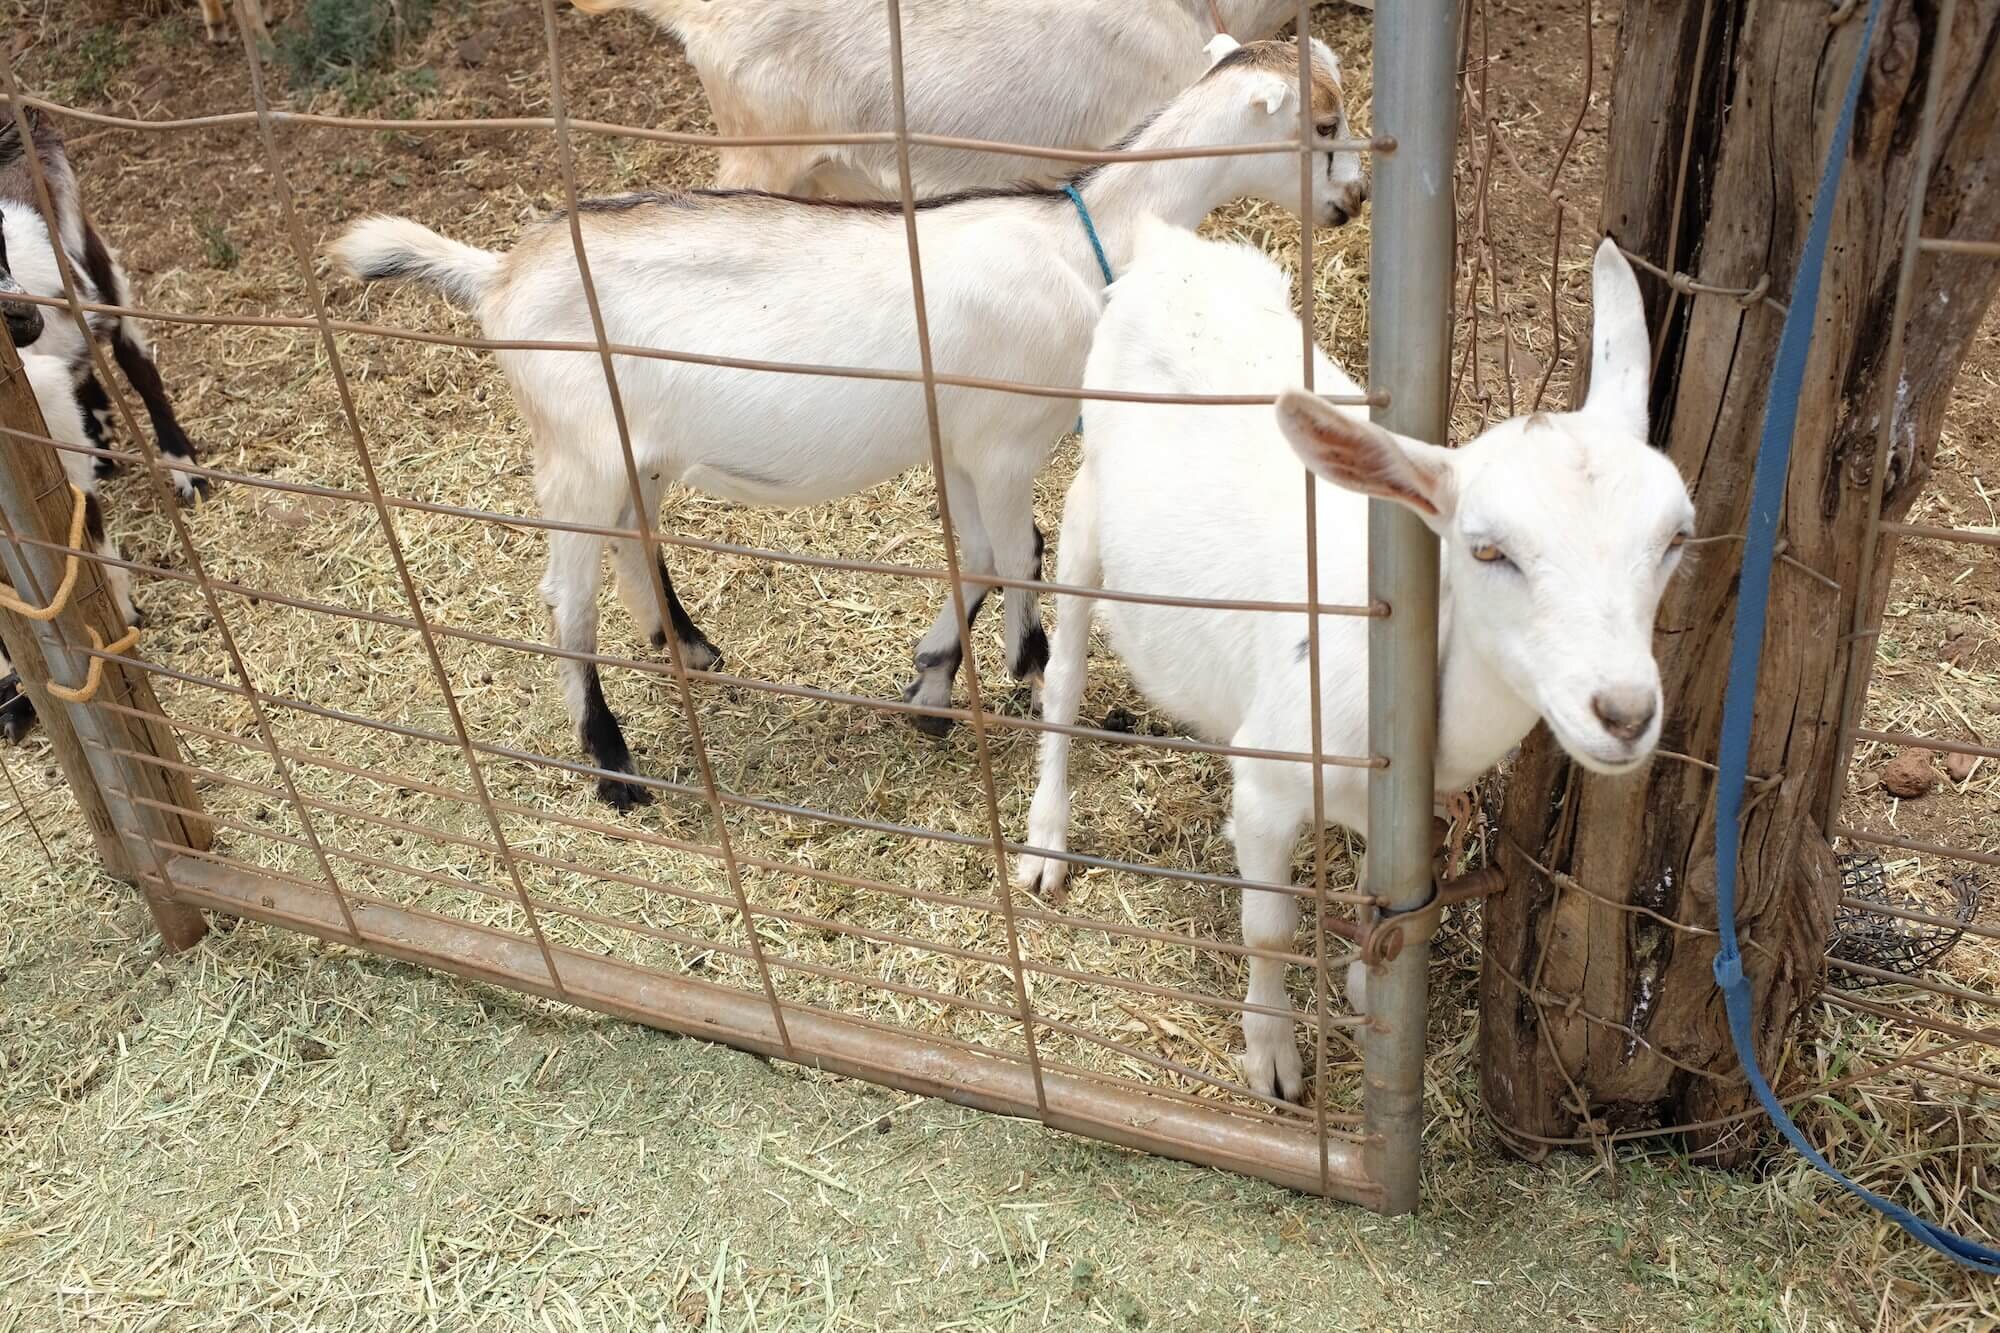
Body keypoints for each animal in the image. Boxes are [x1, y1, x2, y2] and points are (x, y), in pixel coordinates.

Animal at [336, 36, 1368, 804]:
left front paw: (932, 681)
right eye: (1322, 125)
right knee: (567, 595)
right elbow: (1021, 554)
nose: (1352, 201)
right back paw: (615, 765)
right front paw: (1027, 672)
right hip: (575, 451)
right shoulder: (1003, 441)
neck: (1081, 240)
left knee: (635, 538)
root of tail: (499, 276)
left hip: (637, 450)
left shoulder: (958, 441)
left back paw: (690, 645)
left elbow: (980, 556)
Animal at [1024, 226, 1696, 1096]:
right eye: (1487, 548)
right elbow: (1270, 930)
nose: (1624, 711)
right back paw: (1044, 841)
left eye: (1676, 536)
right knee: (1065, 671)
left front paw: (1364, 982)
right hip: (1086, 505)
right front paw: (1273, 1057)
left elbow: (1387, 889)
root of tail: (1167, 246)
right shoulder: (1270, 778)